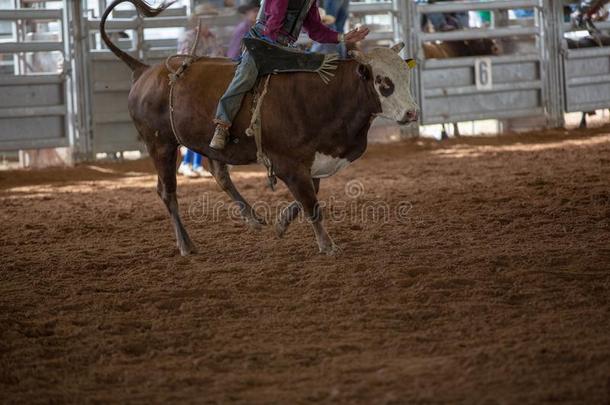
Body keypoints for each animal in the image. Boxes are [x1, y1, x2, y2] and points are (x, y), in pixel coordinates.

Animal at [101, 0, 418, 256]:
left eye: (406, 76)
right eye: (383, 82)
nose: (412, 112)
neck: (327, 95)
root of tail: (144, 70)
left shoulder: (311, 161)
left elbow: (307, 197)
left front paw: (280, 225)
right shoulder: (288, 163)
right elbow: (311, 204)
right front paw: (327, 245)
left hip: (200, 143)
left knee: (219, 173)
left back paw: (253, 218)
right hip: (161, 145)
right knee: (167, 192)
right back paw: (186, 245)